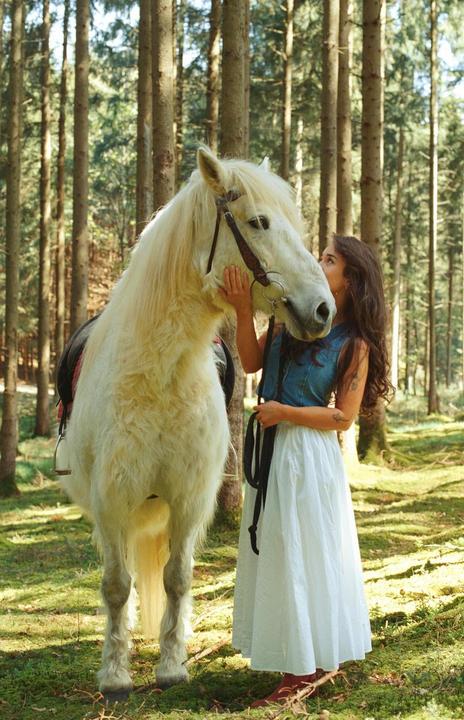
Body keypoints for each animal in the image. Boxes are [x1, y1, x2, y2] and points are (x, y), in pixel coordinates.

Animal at [59, 147, 336, 699]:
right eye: (259, 222)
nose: (323, 309)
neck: (161, 375)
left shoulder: (188, 499)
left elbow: (177, 579)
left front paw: (171, 667)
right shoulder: (113, 500)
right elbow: (117, 585)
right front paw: (115, 675)